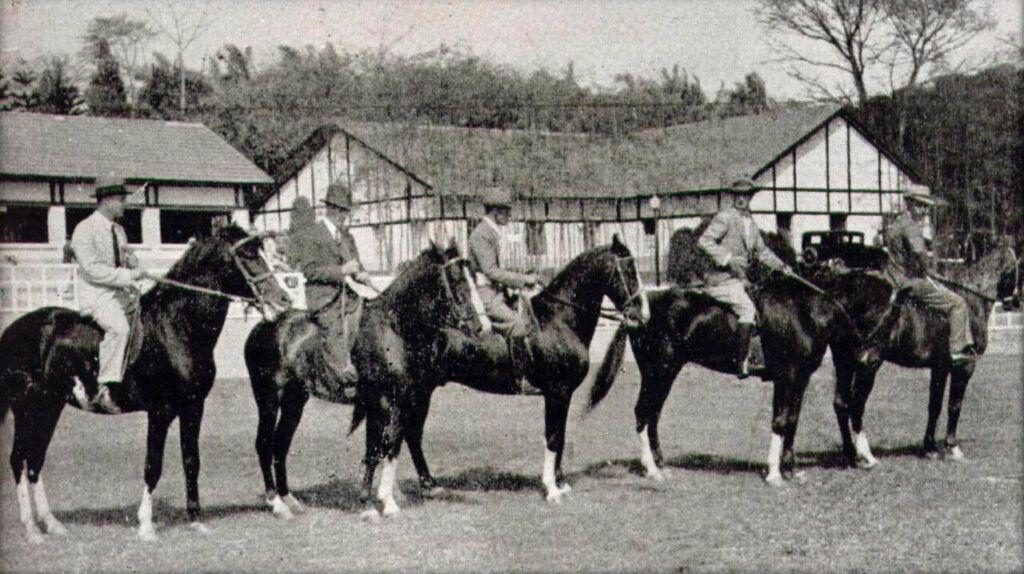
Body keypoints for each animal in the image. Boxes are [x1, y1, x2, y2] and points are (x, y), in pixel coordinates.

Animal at [0, 225, 292, 540]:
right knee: (19, 458)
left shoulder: (193, 407)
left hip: (49, 406)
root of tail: (13, 330)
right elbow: (153, 466)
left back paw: (51, 523)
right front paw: (146, 526)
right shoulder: (160, 412)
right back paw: (32, 529)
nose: (283, 300)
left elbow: (192, 461)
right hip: (27, 406)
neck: (177, 327)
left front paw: (195, 519)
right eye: (247, 255)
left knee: (34, 460)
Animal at [241, 237, 481, 519]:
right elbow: (386, 446)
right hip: (268, 398)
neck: (393, 329)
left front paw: (373, 499)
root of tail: (262, 326)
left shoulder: (389, 402)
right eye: (455, 279)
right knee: (264, 443)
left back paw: (290, 500)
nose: (478, 327)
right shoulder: (387, 402)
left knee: (280, 444)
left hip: (294, 400)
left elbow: (380, 448)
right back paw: (276, 503)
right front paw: (383, 502)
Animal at [356, 233, 651, 515]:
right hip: (404, 395)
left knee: (409, 434)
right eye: (628, 270)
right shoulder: (556, 392)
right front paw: (551, 489)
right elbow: (553, 437)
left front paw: (560, 482)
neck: (559, 320)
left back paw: (426, 486)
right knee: (393, 437)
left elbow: (561, 435)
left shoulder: (562, 395)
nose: (644, 314)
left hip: (420, 393)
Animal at [585, 226, 847, 484]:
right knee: (643, 412)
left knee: (653, 414)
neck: (799, 309)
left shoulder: (800, 379)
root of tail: (639, 310)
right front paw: (774, 472)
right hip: (657, 372)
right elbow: (780, 420)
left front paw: (790, 469)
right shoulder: (787, 376)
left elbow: (792, 420)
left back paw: (660, 463)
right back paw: (651, 468)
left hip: (665, 373)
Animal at [819, 241, 1019, 466]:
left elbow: (935, 406)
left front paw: (930, 447)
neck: (970, 300)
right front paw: (952, 447)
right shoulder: (965, 366)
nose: (1014, 302)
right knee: (856, 404)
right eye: (1016, 268)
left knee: (841, 403)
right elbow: (954, 405)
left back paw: (850, 454)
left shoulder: (940, 367)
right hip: (868, 364)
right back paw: (866, 454)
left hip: (844, 361)